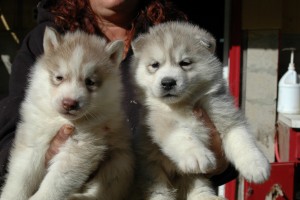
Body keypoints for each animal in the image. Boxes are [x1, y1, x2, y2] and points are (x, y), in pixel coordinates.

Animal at [0, 27, 134, 200]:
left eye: (90, 82)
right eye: (59, 77)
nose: (70, 103)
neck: (61, 120)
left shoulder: (79, 149)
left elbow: (55, 184)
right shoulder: (33, 138)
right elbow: (21, 177)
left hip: (120, 162)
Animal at [130, 21, 270, 199]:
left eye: (185, 63)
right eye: (155, 65)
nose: (168, 82)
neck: (183, 104)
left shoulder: (222, 111)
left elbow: (241, 138)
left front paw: (256, 166)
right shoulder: (158, 119)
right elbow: (182, 134)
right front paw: (196, 155)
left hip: (190, 177)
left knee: (198, 186)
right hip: (151, 170)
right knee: (158, 189)